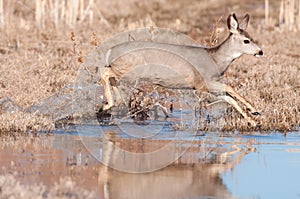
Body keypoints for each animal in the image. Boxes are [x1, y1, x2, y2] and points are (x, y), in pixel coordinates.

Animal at [98, 13, 262, 126]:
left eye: (251, 37)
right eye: (246, 41)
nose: (260, 52)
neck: (215, 59)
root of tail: (110, 51)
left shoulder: (208, 87)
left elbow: (229, 98)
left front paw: (252, 121)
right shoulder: (202, 83)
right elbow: (230, 89)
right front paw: (254, 110)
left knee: (110, 77)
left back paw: (111, 104)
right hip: (130, 71)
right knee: (104, 71)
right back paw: (109, 104)